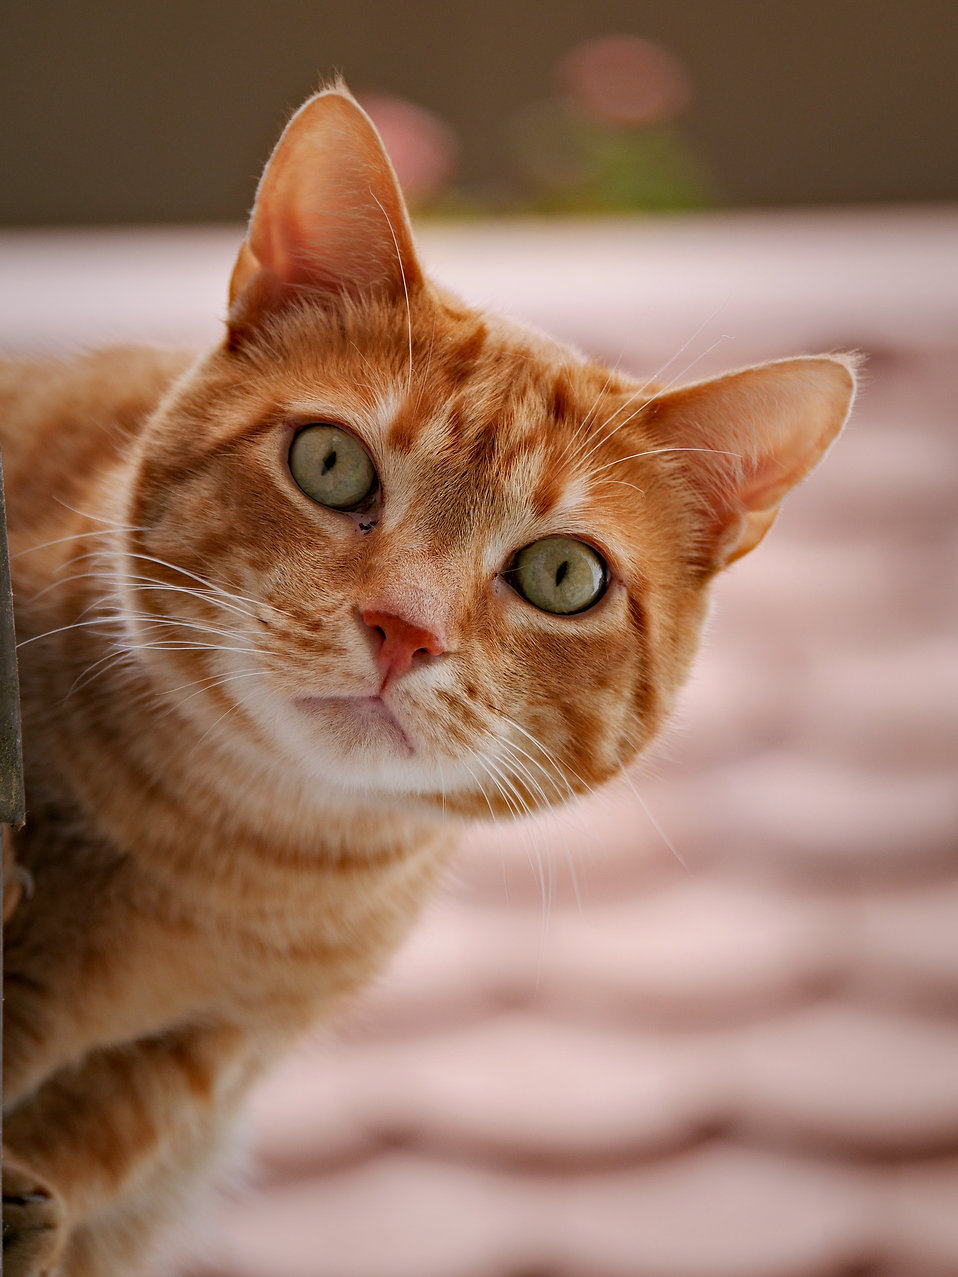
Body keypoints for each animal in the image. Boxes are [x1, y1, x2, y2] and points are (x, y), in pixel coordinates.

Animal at [1, 84, 863, 1271]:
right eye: (329, 463)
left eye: (562, 574)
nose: (402, 630)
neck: (239, 858)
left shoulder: (206, 1055)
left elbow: (106, 1127)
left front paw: (36, 1188)